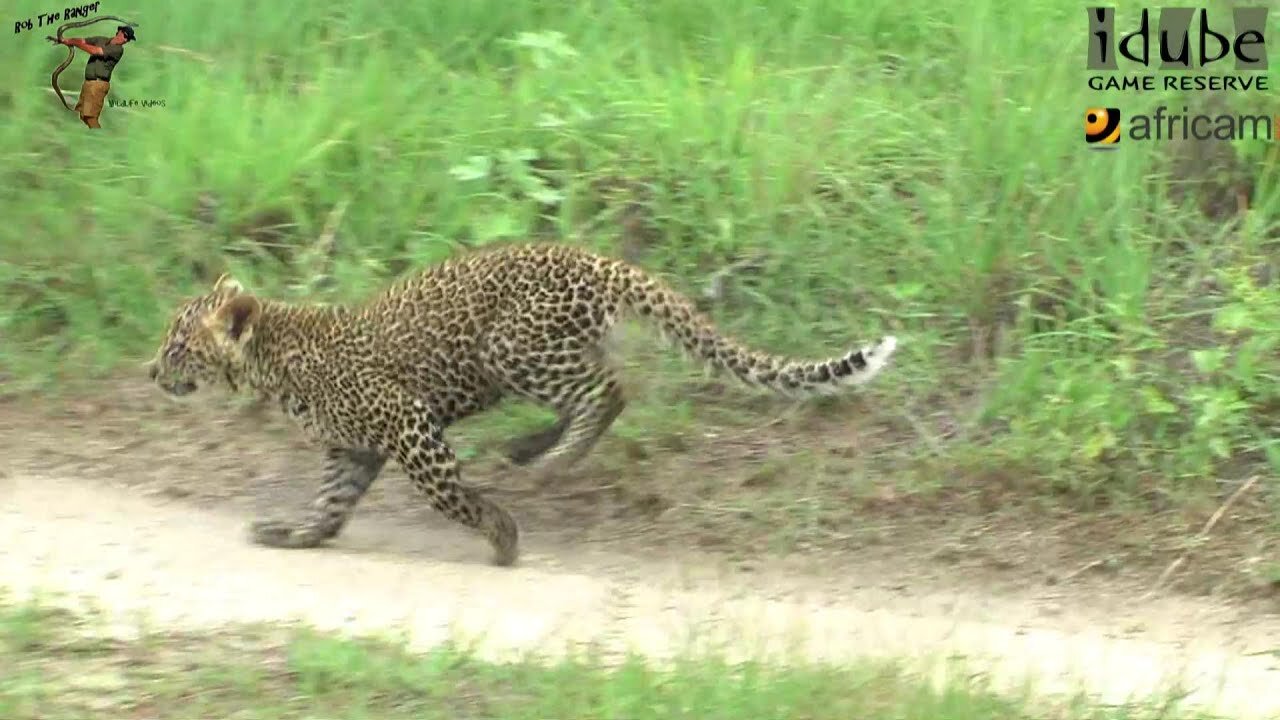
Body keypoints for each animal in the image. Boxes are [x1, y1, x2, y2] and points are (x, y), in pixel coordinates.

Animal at [147, 242, 901, 566]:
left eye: (179, 343)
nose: (151, 371)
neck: (272, 362)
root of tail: (596, 260)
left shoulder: (405, 422)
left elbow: (448, 494)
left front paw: (502, 536)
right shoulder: (352, 447)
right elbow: (332, 501)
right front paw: (299, 534)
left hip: (515, 348)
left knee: (610, 389)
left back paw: (555, 460)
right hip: (530, 357)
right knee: (597, 392)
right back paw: (532, 448)